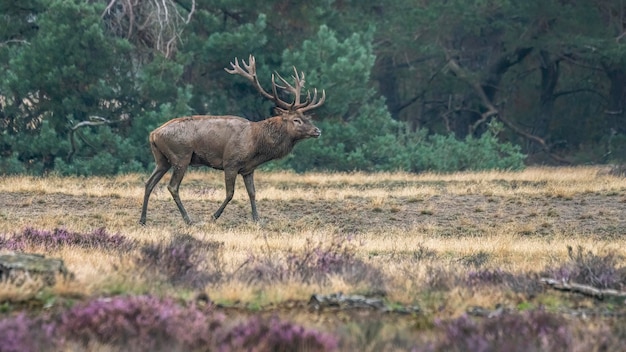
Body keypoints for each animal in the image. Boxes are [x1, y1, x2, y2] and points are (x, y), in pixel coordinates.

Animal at [139, 55, 324, 226]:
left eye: (306, 117)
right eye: (296, 120)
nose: (317, 130)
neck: (256, 145)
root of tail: (153, 134)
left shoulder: (248, 169)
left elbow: (252, 193)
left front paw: (257, 219)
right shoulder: (231, 163)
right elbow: (230, 193)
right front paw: (213, 217)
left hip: (162, 159)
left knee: (149, 182)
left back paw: (143, 220)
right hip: (181, 156)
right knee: (172, 186)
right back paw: (188, 220)